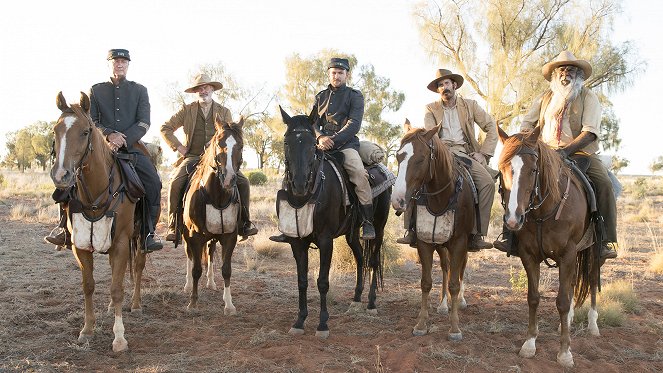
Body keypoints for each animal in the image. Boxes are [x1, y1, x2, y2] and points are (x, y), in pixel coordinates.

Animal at [50, 91, 147, 352]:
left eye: (85, 132)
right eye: (55, 130)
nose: (61, 176)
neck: (97, 193)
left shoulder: (122, 242)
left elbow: (116, 288)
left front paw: (119, 338)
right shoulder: (80, 246)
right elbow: (89, 285)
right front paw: (87, 329)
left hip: (139, 239)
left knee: (138, 266)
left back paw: (135, 304)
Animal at [180, 116, 245, 310]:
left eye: (241, 145)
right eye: (218, 143)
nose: (229, 179)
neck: (218, 196)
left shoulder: (230, 236)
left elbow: (226, 270)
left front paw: (229, 304)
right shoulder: (194, 236)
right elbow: (196, 269)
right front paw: (193, 301)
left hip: (213, 236)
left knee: (210, 251)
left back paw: (211, 282)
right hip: (186, 235)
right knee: (190, 256)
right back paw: (188, 285)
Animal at [276, 106, 392, 336]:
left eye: (312, 144)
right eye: (286, 142)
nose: (300, 185)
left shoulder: (325, 240)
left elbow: (322, 281)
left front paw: (322, 324)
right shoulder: (296, 242)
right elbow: (302, 281)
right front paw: (299, 320)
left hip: (379, 227)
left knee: (373, 261)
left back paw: (371, 303)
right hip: (352, 234)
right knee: (359, 258)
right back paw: (356, 299)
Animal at [392, 121, 474, 340]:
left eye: (420, 159)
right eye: (398, 156)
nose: (398, 200)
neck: (441, 198)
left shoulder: (459, 243)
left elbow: (454, 283)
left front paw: (454, 328)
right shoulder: (425, 242)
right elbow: (426, 282)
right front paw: (421, 323)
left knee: (459, 270)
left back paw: (460, 301)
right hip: (441, 245)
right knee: (446, 268)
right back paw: (443, 305)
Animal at [498, 125, 600, 366]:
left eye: (533, 169)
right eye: (501, 168)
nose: (513, 219)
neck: (543, 213)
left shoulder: (568, 254)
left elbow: (561, 300)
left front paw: (565, 353)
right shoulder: (529, 255)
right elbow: (533, 297)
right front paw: (529, 344)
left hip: (591, 250)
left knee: (592, 280)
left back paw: (593, 324)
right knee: (572, 284)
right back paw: (570, 320)